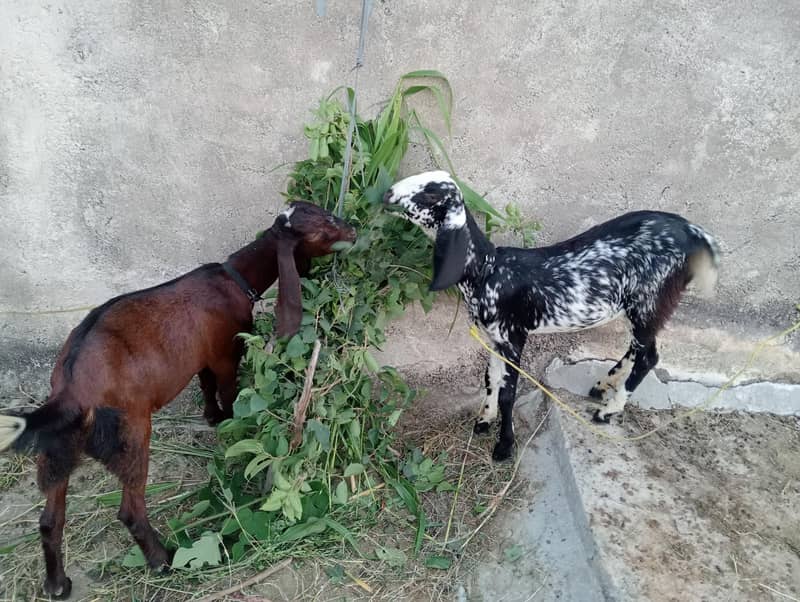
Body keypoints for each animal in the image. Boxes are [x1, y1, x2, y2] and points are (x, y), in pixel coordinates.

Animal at [0, 201, 356, 599]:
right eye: (323, 226)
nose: (354, 230)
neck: (233, 278)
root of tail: (71, 389)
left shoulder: (202, 357)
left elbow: (205, 384)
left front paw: (212, 417)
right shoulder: (227, 353)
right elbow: (229, 391)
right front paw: (230, 429)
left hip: (58, 451)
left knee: (50, 519)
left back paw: (57, 584)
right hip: (132, 433)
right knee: (130, 510)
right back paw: (162, 560)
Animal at [383, 171, 719, 462]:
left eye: (430, 193)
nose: (387, 193)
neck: (489, 271)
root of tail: (694, 234)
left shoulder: (513, 336)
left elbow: (508, 393)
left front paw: (504, 447)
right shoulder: (494, 338)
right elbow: (491, 379)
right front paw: (484, 420)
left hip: (649, 300)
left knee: (649, 356)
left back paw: (608, 411)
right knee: (639, 348)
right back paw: (603, 386)